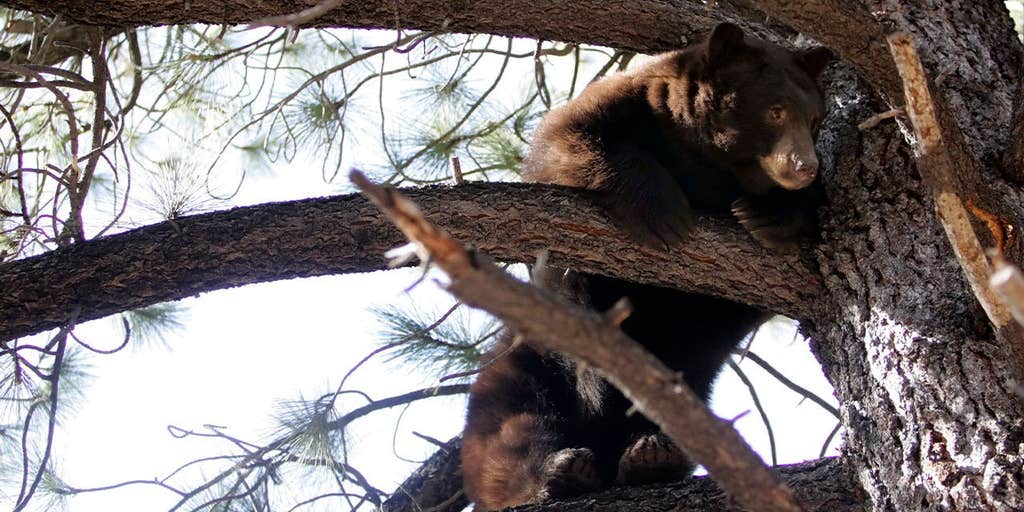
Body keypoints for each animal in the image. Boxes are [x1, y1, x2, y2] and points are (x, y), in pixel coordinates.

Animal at [461, 23, 831, 511]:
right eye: (775, 111)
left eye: (814, 119)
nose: (804, 166)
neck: (708, 164)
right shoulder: (632, 105)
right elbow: (562, 141)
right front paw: (663, 212)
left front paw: (769, 216)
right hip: (526, 365)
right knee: (512, 431)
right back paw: (562, 470)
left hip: (689, 383)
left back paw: (651, 456)